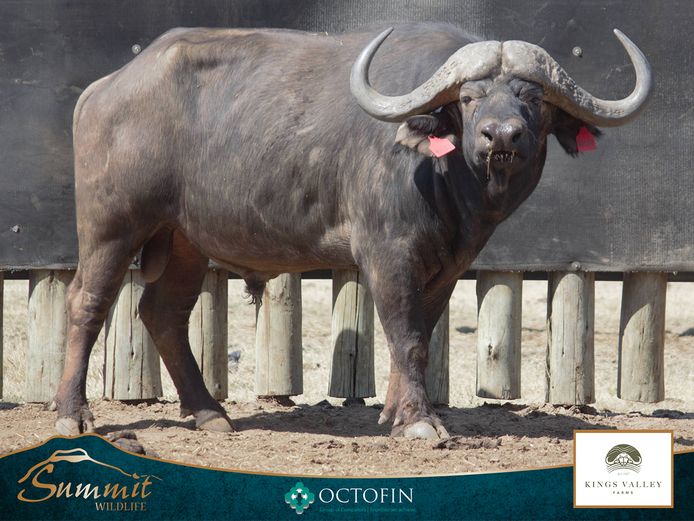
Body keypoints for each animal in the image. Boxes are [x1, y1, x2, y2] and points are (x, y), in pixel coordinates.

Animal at [53, 22, 651, 440]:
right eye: (468, 97)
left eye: (532, 96)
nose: (501, 135)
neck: (448, 180)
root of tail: (103, 89)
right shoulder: (388, 254)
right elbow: (407, 337)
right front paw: (418, 422)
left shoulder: (448, 265)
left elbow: (423, 333)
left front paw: (394, 412)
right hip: (113, 224)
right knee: (87, 302)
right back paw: (71, 414)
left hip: (185, 239)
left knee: (163, 312)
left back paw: (209, 414)